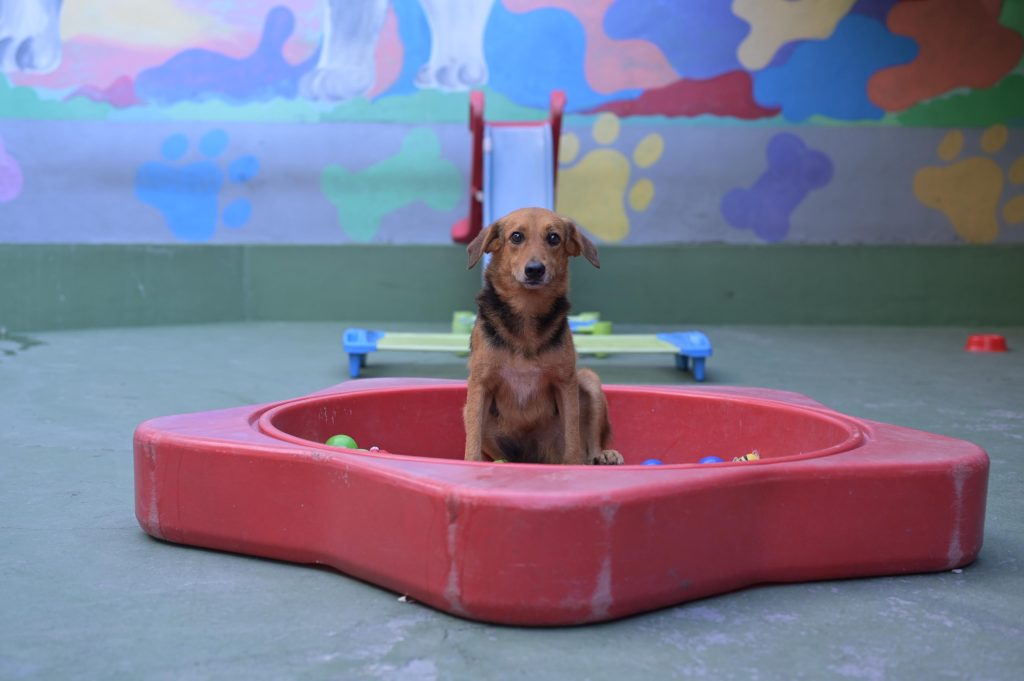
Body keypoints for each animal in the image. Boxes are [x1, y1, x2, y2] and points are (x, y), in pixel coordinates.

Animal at [463, 207, 623, 466]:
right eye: (516, 237)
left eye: (554, 238)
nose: (535, 270)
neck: (527, 310)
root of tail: (532, 459)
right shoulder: (480, 384)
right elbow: (474, 441)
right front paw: (470, 465)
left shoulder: (565, 383)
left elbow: (573, 438)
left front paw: (574, 466)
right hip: (468, 411)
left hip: (589, 381)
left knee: (589, 445)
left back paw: (603, 455)